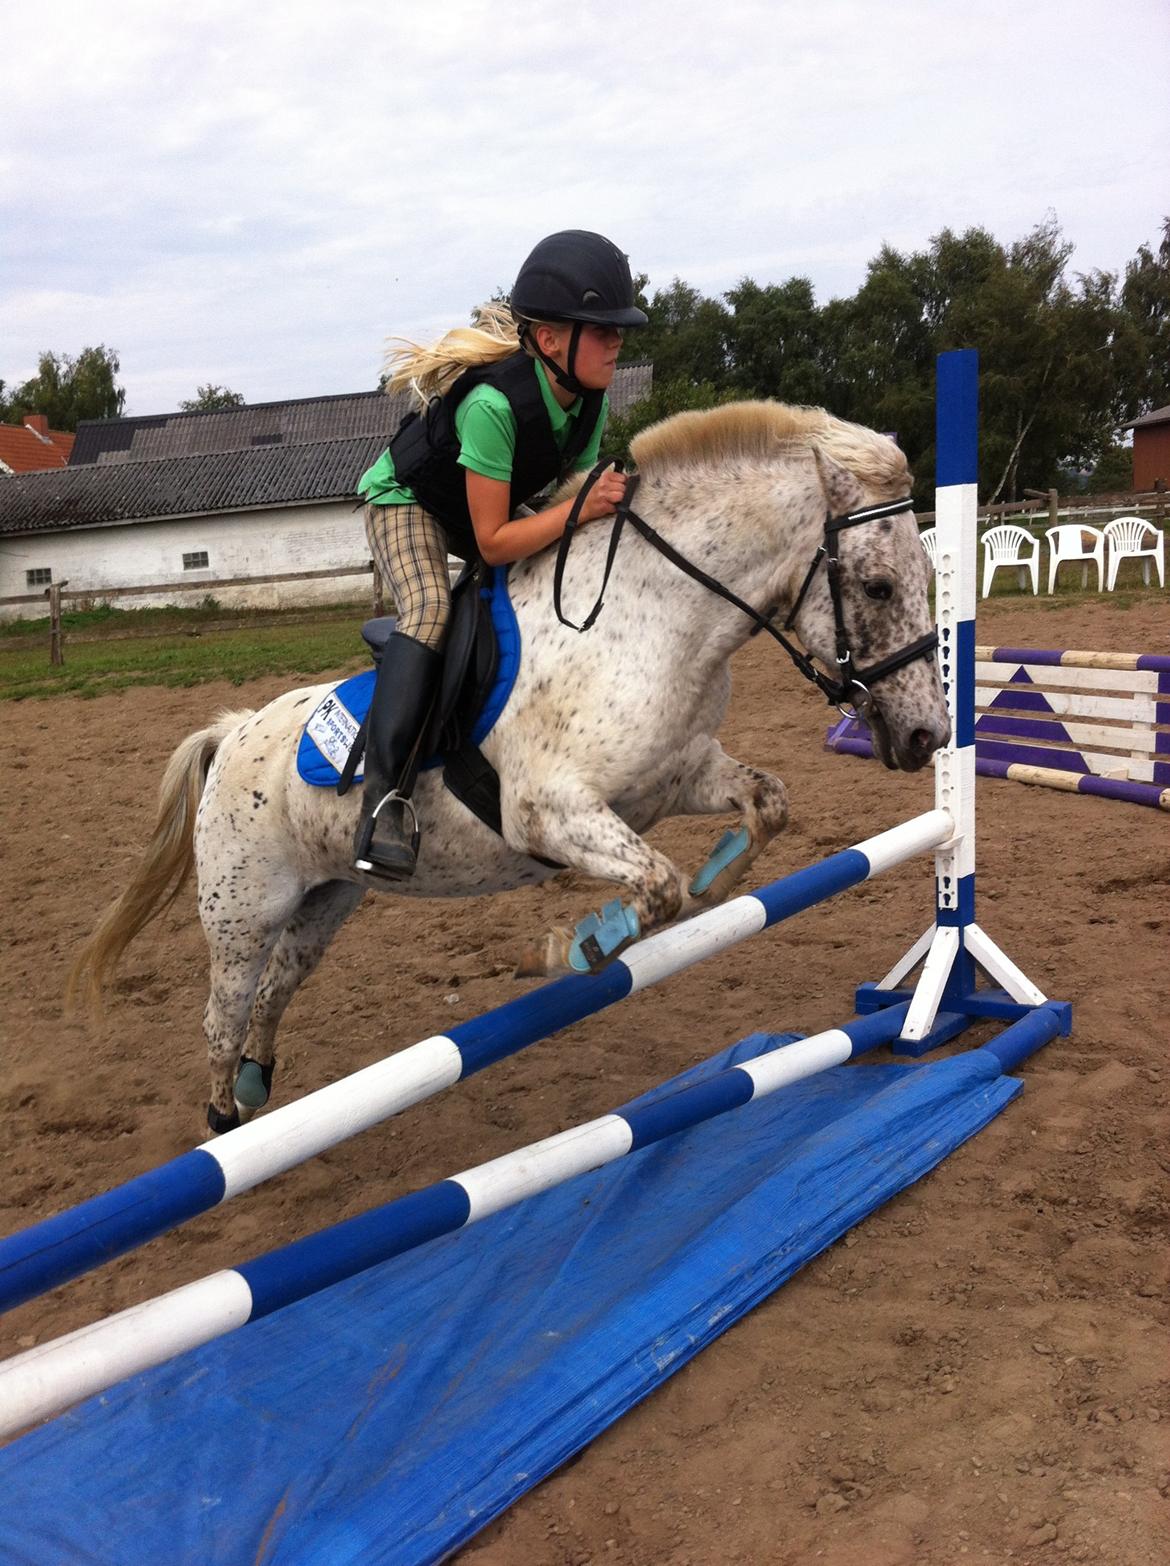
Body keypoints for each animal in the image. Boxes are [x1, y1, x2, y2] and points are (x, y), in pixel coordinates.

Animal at [69, 401, 949, 1133]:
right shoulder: (550, 812)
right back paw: (225, 1117)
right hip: (241, 912)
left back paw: (257, 1088)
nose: (927, 737)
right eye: (877, 585)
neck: (656, 617)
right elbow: (653, 886)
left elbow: (764, 809)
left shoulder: (681, 775)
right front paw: (574, 948)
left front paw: (716, 883)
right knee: (222, 1011)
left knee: (279, 984)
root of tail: (231, 733)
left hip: (327, 898)